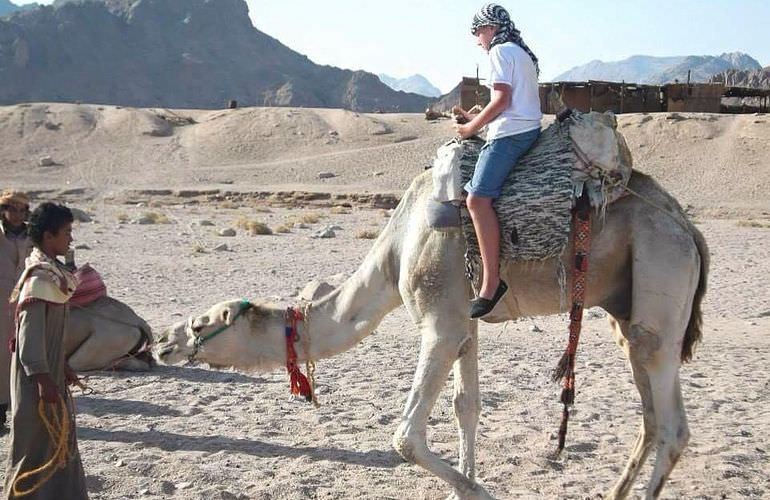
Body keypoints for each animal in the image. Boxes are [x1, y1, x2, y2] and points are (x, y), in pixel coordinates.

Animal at [153, 165, 704, 500]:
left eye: (201, 324)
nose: (162, 344)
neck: (397, 249)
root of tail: (688, 228)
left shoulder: (439, 323)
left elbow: (406, 437)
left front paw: (475, 490)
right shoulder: (465, 322)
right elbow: (467, 406)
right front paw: (465, 479)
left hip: (660, 276)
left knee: (673, 424)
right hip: (624, 310)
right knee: (650, 415)